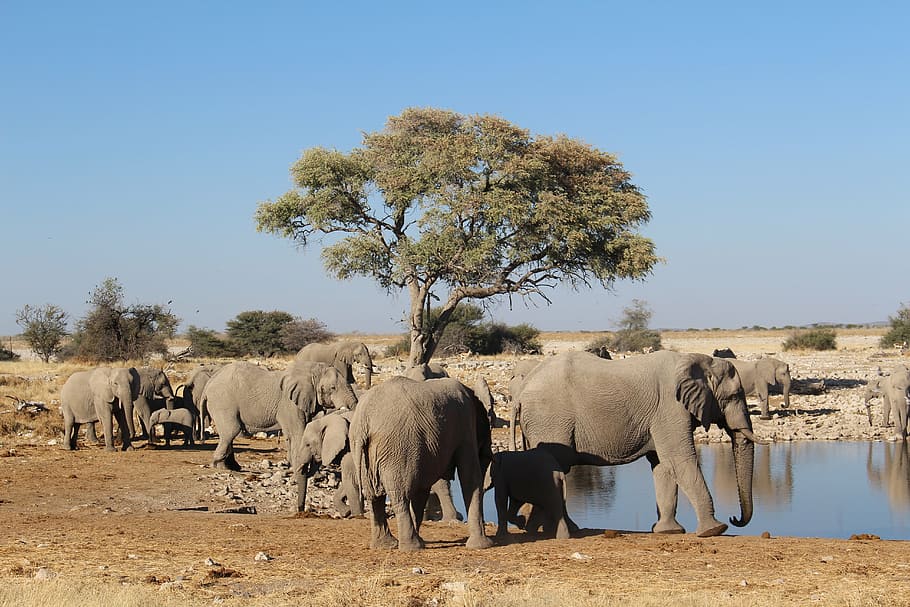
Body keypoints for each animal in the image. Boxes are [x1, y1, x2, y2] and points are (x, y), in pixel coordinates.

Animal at [203, 359, 358, 511]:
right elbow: (298, 433)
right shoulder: (289, 404)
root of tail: (209, 383)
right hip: (223, 402)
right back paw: (222, 467)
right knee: (231, 430)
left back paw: (234, 467)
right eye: (332, 388)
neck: (310, 371)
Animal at [350, 376, 493, 551]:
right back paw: (411, 547)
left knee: (374, 497)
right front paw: (483, 546)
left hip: (363, 452)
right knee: (400, 497)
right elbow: (470, 477)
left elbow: (422, 488)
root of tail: (364, 420)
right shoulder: (466, 427)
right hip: (398, 449)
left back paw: (386, 545)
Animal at [515, 350, 764, 538]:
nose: (735, 518)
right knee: (556, 468)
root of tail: (523, 387)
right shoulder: (670, 407)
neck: (694, 360)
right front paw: (715, 530)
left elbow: (663, 466)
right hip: (550, 420)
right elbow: (679, 460)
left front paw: (668, 532)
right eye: (734, 396)